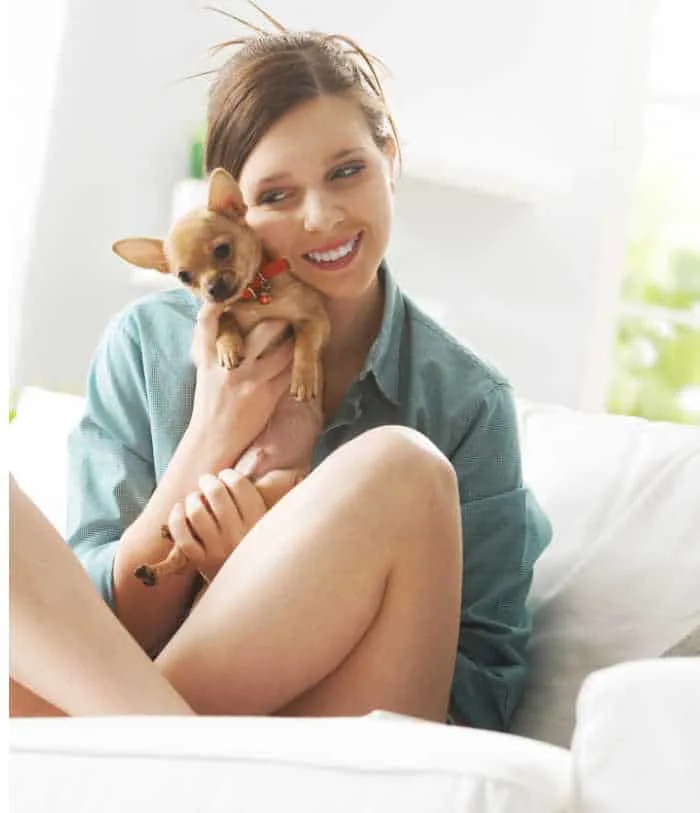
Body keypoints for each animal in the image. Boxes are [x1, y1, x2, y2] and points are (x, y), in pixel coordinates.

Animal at [113, 167, 330, 584]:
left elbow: (304, 344)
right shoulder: (226, 314)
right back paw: (156, 561)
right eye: (184, 276)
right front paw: (229, 348)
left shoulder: (315, 319)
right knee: (182, 548)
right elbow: (227, 322)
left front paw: (303, 378)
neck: (255, 296)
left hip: (269, 485)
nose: (213, 288)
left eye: (223, 250)